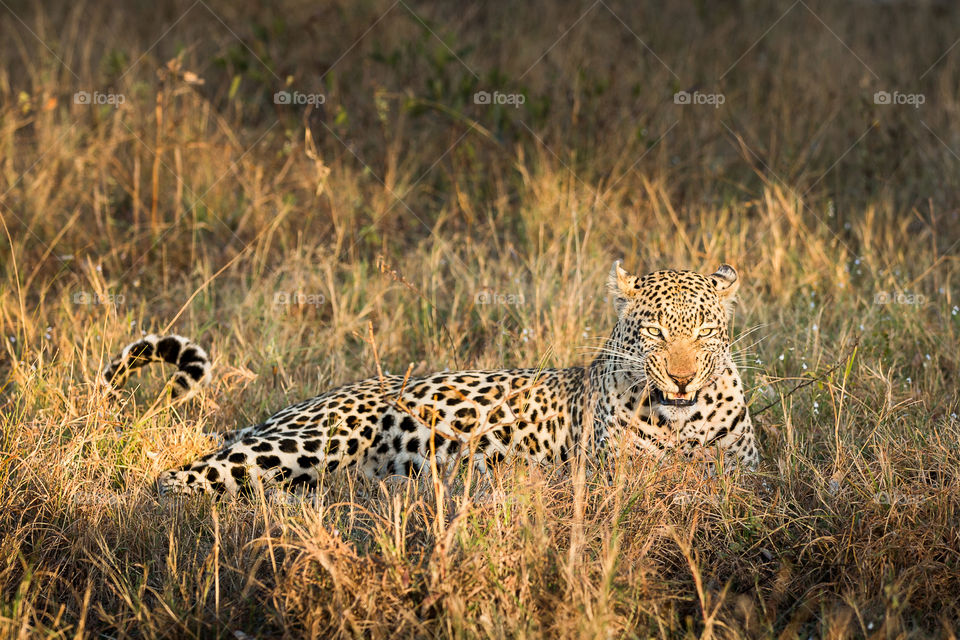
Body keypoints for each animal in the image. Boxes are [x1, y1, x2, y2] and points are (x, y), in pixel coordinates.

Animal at [97, 260, 756, 496]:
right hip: (311, 442)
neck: (684, 422)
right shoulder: (614, 476)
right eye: (655, 332)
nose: (681, 380)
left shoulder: (746, 473)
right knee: (173, 482)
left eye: (704, 330)